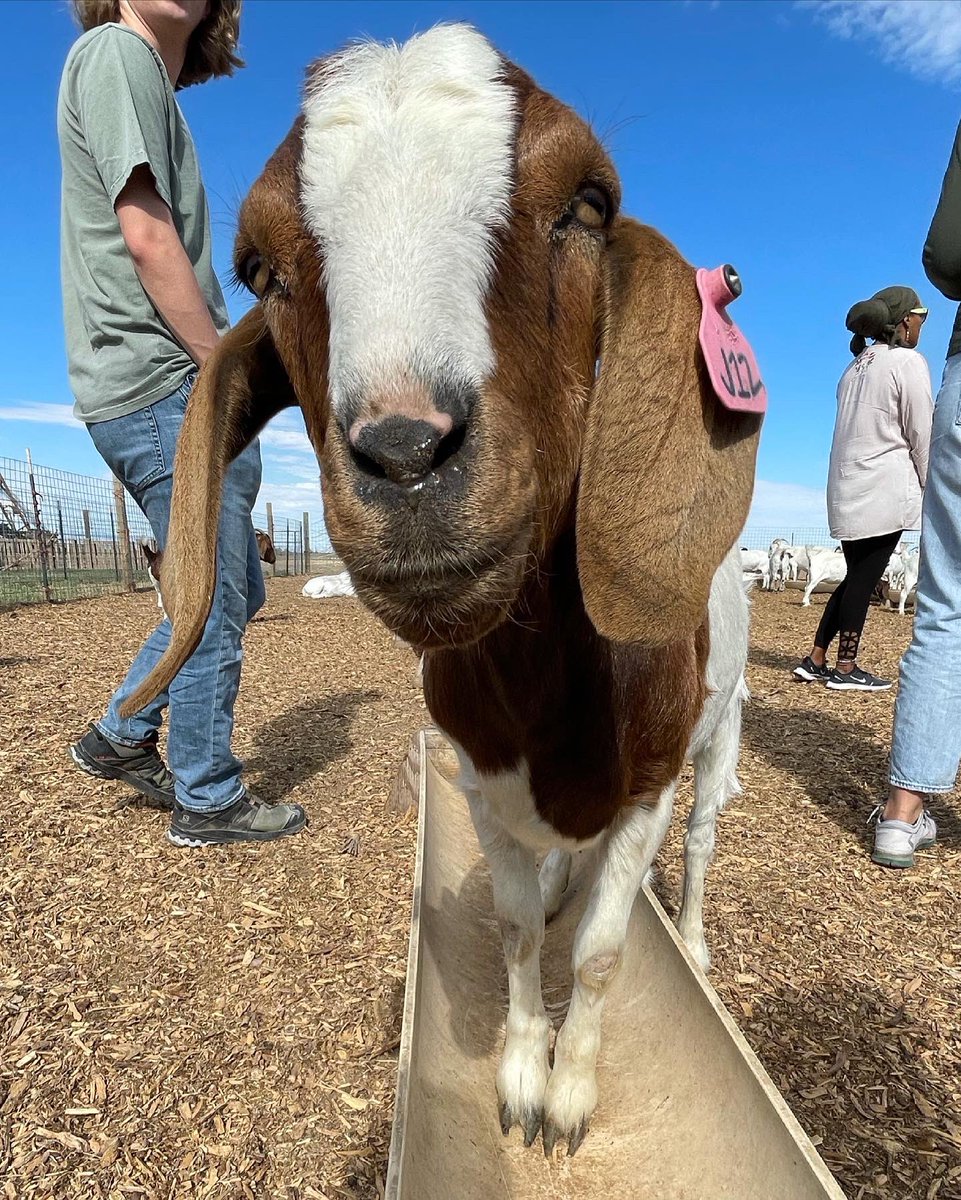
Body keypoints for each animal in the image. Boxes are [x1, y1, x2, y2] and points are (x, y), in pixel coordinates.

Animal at [120, 25, 763, 1157]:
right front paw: (517, 1077)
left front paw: (568, 1097)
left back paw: (687, 935)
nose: (406, 453)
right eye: (257, 267)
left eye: (588, 204)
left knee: (697, 842)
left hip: (719, 728)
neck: (554, 693)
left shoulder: (645, 780)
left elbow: (602, 952)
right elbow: (511, 928)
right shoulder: (480, 777)